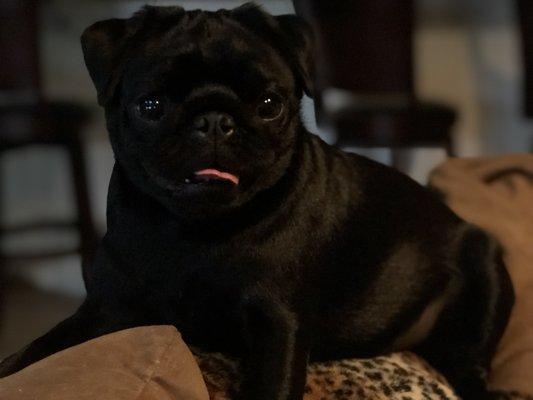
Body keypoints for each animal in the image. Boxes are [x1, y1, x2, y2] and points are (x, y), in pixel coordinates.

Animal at [1, 3, 516, 400]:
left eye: (270, 104)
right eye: (150, 106)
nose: (213, 120)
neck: (194, 229)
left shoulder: (278, 327)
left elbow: (272, 385)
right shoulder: (107, 310)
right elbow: (36, 353)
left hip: (484, 272)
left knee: (469, 369)